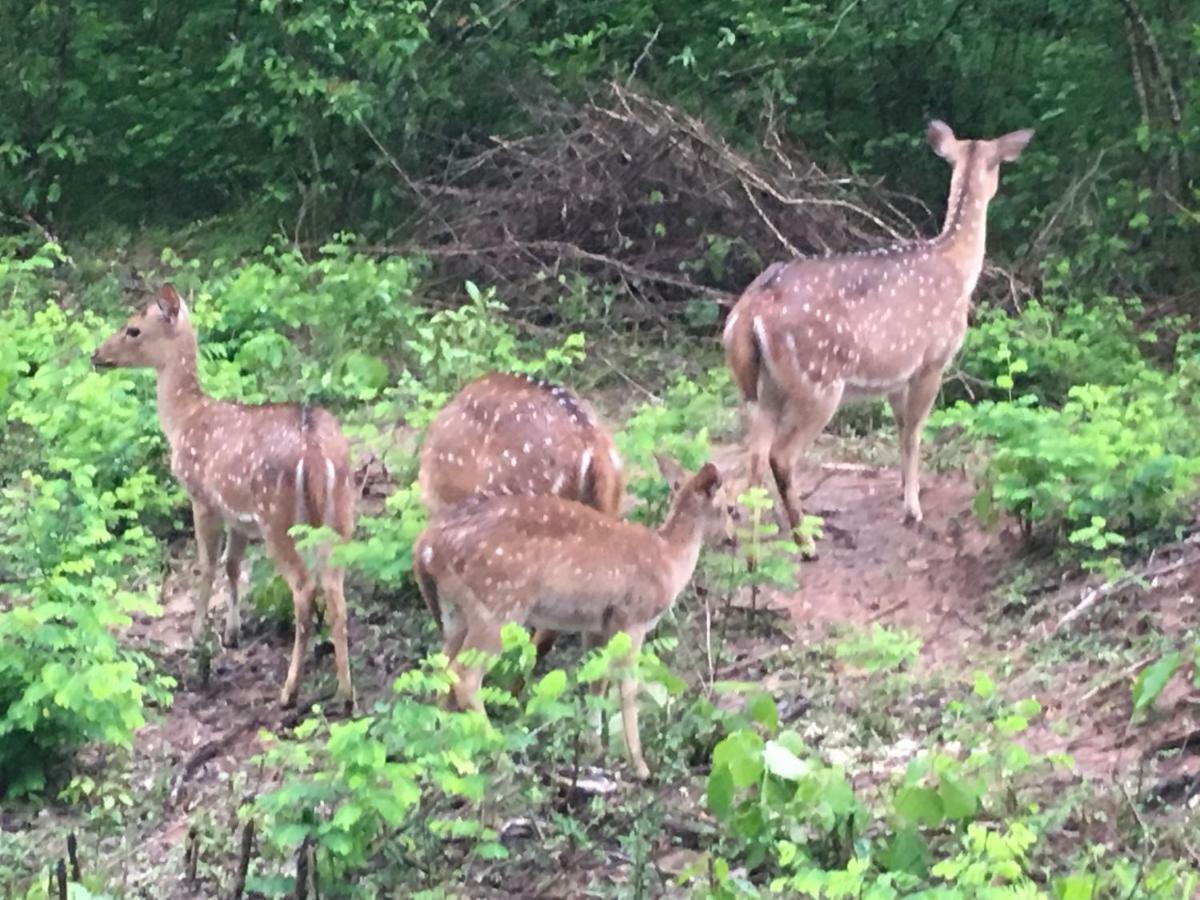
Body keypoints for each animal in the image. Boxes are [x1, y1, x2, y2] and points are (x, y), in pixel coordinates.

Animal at [91, 285, 352, 715]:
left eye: (133, 329)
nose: (96, 355)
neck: (183, 420)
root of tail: (316, 453)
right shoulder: (239, 515)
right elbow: (233, 566)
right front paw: (232, 633)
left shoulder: (202, 496)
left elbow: (207, 566)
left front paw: (198, 635)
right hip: (341, 514)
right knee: (335, 589)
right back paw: (346, 694)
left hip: (277, 517)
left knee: (303, 588)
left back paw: (288, 692)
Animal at [412, 458, 729, 782]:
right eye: (729, 507)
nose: (732, 537)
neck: (670, 558)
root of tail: (425, 549)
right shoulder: (632, 617)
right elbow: (628, 687)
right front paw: (639, 765)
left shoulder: (598, 624)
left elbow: (597, 680)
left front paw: (594, 747)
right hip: (498, 605)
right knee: (464, 676)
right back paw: (501, 758)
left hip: (454, 613)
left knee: (442, 670)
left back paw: (446, 752)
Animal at [720, 118, 1032, 535]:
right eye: (997, 163)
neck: (959, 266)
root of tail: (748, 311)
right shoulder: (932, 360)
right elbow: (914, 432)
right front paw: (913, 509)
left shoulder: (896, 374)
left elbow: (900, 429)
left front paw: (905, 491)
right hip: (817, 381)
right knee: (779, 455)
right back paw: (805, 538)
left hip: (762, 386)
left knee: (750, 458)